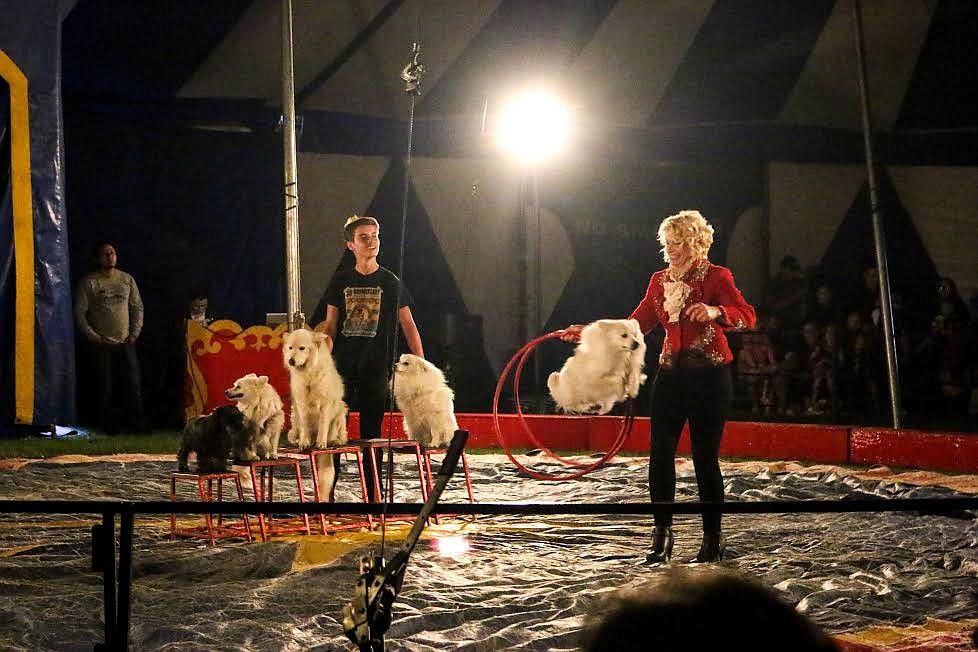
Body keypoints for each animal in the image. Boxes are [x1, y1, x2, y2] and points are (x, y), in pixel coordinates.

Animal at [280, 326, 348, 500]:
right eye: (290, 348)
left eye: (302, 348)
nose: (291, 361)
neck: (308, 374)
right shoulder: (301, 405)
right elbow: (305, 426)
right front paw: (304, 442)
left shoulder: (326, 405)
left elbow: (323, 426)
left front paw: (321, 443)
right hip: (294, 420)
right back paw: (300, 441)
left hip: (340, 411)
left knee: (337, 433)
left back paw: (333, 440)